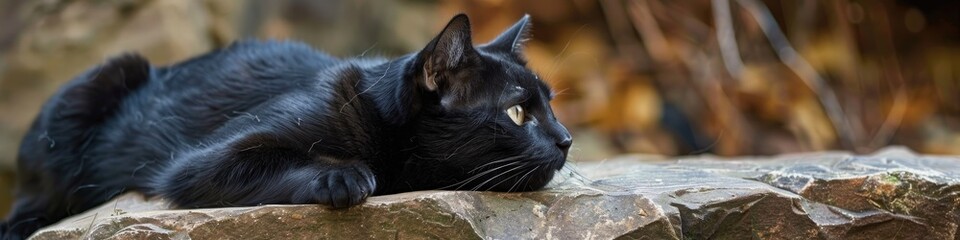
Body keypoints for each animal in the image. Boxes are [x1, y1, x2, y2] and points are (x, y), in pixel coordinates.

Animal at [0, 14, 568, 239]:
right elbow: (292, 160)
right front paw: (344, 176)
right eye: (518, 112)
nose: (565, 140)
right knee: (36, 192)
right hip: (97, 84)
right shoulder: (195, 166)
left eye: (552, 104)